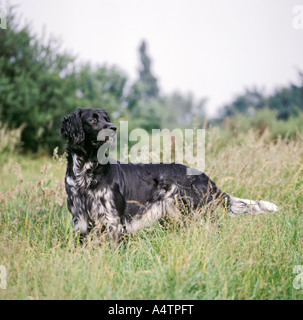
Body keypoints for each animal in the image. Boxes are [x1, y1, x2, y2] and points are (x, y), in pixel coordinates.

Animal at [60, 107, 280, 240]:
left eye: (107, 119)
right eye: (92, 119)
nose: (113, 128)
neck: (87, 172)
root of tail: (203, 176)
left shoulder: (113, 220)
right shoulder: (81, 220)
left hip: (199, 214)